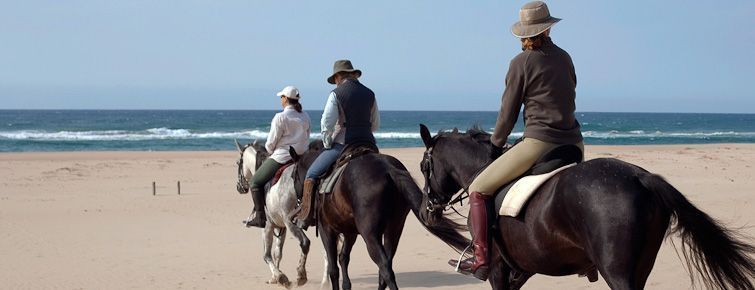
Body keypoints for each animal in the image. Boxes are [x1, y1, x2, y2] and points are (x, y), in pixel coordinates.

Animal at [290, 139, 472, 288]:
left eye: (293, 176)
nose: (298, 201)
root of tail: (388, 168)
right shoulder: (350, 233)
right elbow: (344, 258)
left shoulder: (326, 230)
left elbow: (334, 268)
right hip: (394, 229)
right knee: (385, 267)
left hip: (370, 235)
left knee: (385, 268)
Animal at [416, 124, 755, 290]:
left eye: (423, 166)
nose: (425, 211)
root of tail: (641, 177)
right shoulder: (521, 270)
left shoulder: (498, 271)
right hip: (641, 268)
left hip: (618, 272)